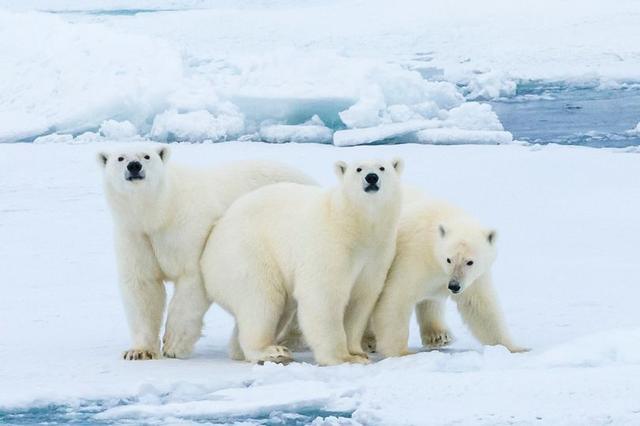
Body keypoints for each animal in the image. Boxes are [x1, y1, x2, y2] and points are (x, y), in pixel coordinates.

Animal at [97, 143, 316, 360]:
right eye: (120, 158)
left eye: (147, 156)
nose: (134, 166)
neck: (161, 211)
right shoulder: (135, 235)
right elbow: (142, 285)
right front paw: (139, 351)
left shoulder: (189, 229)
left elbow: (192, 279)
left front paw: (174, 345)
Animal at [200, 158, 402, 364]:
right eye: (358, 169)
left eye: (382, 168)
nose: (371, 178)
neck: (353, 224)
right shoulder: (330, 245)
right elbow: (323, 296)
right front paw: (342, 357)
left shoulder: (376, 254)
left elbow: (361, 299)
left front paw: (358, 353)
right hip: (247, 253)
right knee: (263, 299)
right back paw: (272, 351)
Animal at [370, 195, 524, 358]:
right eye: (449, 259)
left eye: (470, 262)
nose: (454, 285)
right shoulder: (412, 258)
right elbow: (395, 298)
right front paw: (402, 352)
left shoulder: (474, 279)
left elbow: (479, 307)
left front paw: (514, 348)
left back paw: (439, 336)